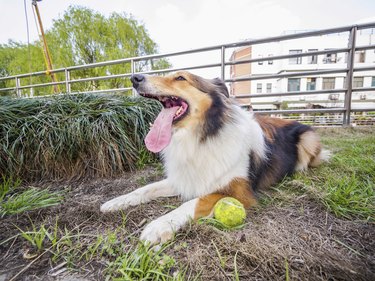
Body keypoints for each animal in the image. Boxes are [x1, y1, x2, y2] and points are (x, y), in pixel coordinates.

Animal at [101, 70, 330, 243]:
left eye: (181, 78)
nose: (135, 78)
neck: (202, 137)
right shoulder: (187, 177)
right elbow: (145, 188)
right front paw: (117, 202)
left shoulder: (240, 191)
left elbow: (196, 201)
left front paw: (160, 225)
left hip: (308, 138)